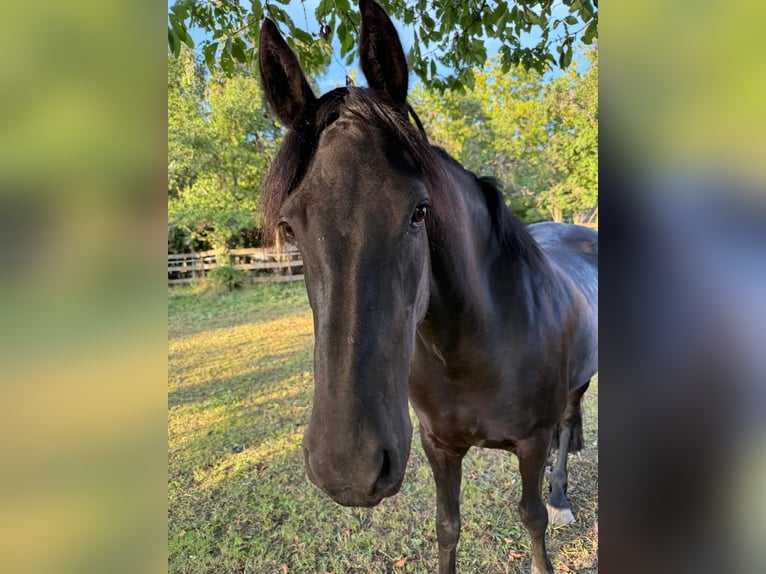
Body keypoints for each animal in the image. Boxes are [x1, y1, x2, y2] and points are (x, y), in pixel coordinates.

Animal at [257, 1, 597, 572]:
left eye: (419, 211)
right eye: (290, 226)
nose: (347, 467)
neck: (477, 350)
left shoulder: (529, 445)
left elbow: (532, 518)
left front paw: (549, 512)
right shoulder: (438, 445)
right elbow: (447, 526)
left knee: (569, 422)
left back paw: (562, 491)